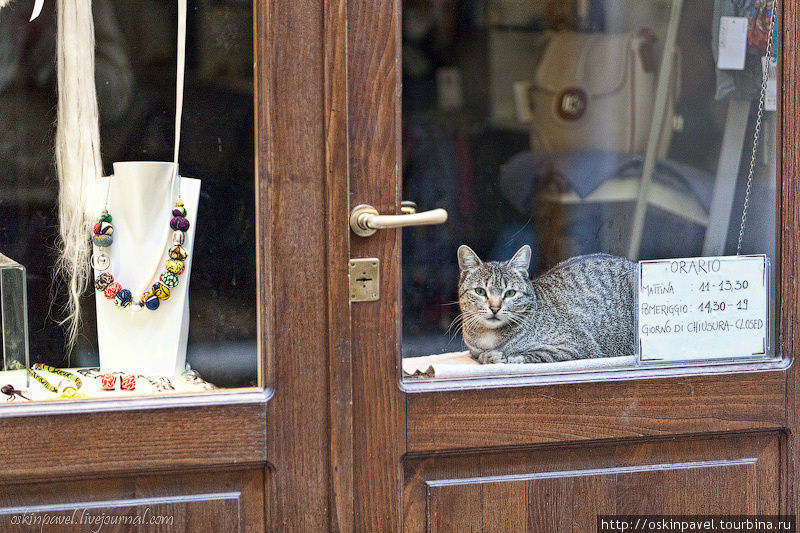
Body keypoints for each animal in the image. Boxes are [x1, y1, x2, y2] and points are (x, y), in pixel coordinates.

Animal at [456, 244, 636, 362]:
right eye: (480, 291)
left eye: (510, 293)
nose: (495, 308)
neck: (489, 338)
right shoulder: (474, 351)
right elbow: (480, 356)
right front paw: (490, 356)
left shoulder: (577, 345)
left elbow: (531, 355)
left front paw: (505, 356)